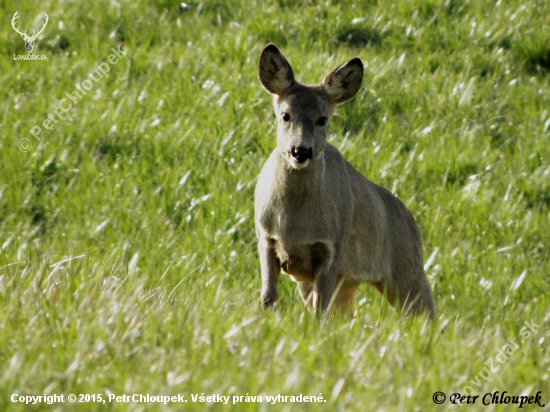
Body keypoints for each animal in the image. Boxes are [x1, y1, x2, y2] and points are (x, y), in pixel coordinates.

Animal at [256, 43, 438, 318]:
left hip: (407, 269)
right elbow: (268, 298)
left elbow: (319, 311)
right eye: (285, 115)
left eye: (323, 118)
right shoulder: (265, 238)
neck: (294, 224)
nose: (301, 151)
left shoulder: (332, 247)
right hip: (348, 283)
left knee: (426, 312)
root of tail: (412, 221)